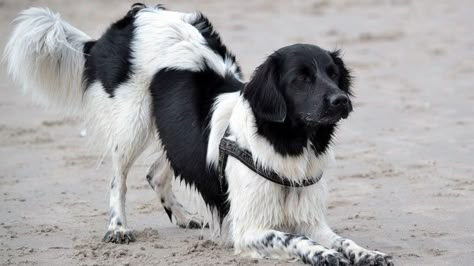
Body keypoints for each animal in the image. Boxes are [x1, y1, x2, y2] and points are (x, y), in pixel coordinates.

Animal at [4, 4, 392, 266]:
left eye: (334, 74)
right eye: (301, 79)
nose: (341, 100)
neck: (288, 144)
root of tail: (133, 16)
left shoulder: (312, 218)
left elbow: (342, 239)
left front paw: (365, 252)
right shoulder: (248, 228)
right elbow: (294, 238)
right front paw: (322, 253)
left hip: (171, 128)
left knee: (156, 171)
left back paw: (184, 217)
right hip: (132, 121)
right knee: (118, 179)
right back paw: (117, 228)